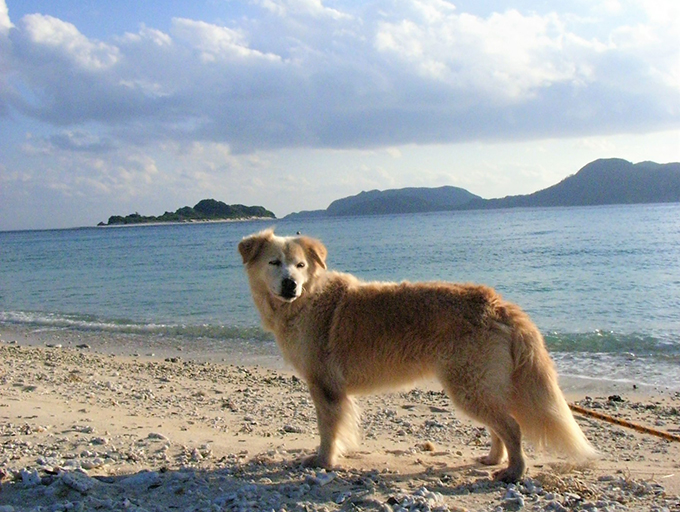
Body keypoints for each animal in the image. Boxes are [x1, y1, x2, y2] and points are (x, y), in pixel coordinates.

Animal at [238, 230, 596, 482]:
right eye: (274, 262)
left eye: (300, 265)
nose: (290, 284)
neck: (307, 299)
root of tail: (498, 304)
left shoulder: (325, 387)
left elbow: (328, 431)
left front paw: (323, 462)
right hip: (479, 386)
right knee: (501, 426)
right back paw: (494, 459)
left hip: (469, 386)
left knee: (512, 426)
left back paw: (514, 472)